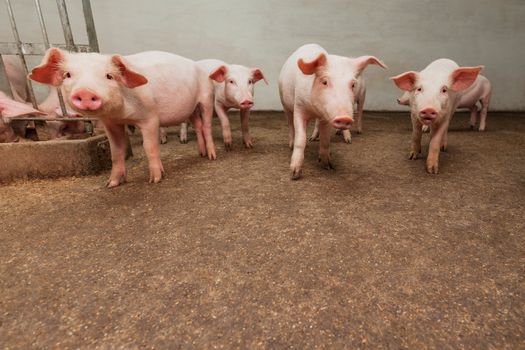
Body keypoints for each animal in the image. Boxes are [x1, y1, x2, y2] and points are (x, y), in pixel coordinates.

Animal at [29, 48, 221, 189]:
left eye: (109, 76)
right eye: (68, 74)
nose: (85, 92)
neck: (121, 114)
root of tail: (199, 67)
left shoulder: (150, 117)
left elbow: (150, 147)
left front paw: (155, 179)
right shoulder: (110, 123)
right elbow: (116, 152)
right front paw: (111, 184)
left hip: (205, 98)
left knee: (206, 126)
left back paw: (211, 157)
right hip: (191, 110)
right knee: (198, 126)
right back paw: (201, 153)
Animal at [278, 43, 384, 179]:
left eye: (353, 84)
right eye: (324, 82)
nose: (345, 118)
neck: (314, 109)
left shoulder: (327, 116)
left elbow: (325, 140)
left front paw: (328, 166)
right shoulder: (299, 106)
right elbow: (300, 138)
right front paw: (295, 174)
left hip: (361, 98)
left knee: (358, 113)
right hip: (285, 104)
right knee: (290, 125)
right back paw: (295, 144)